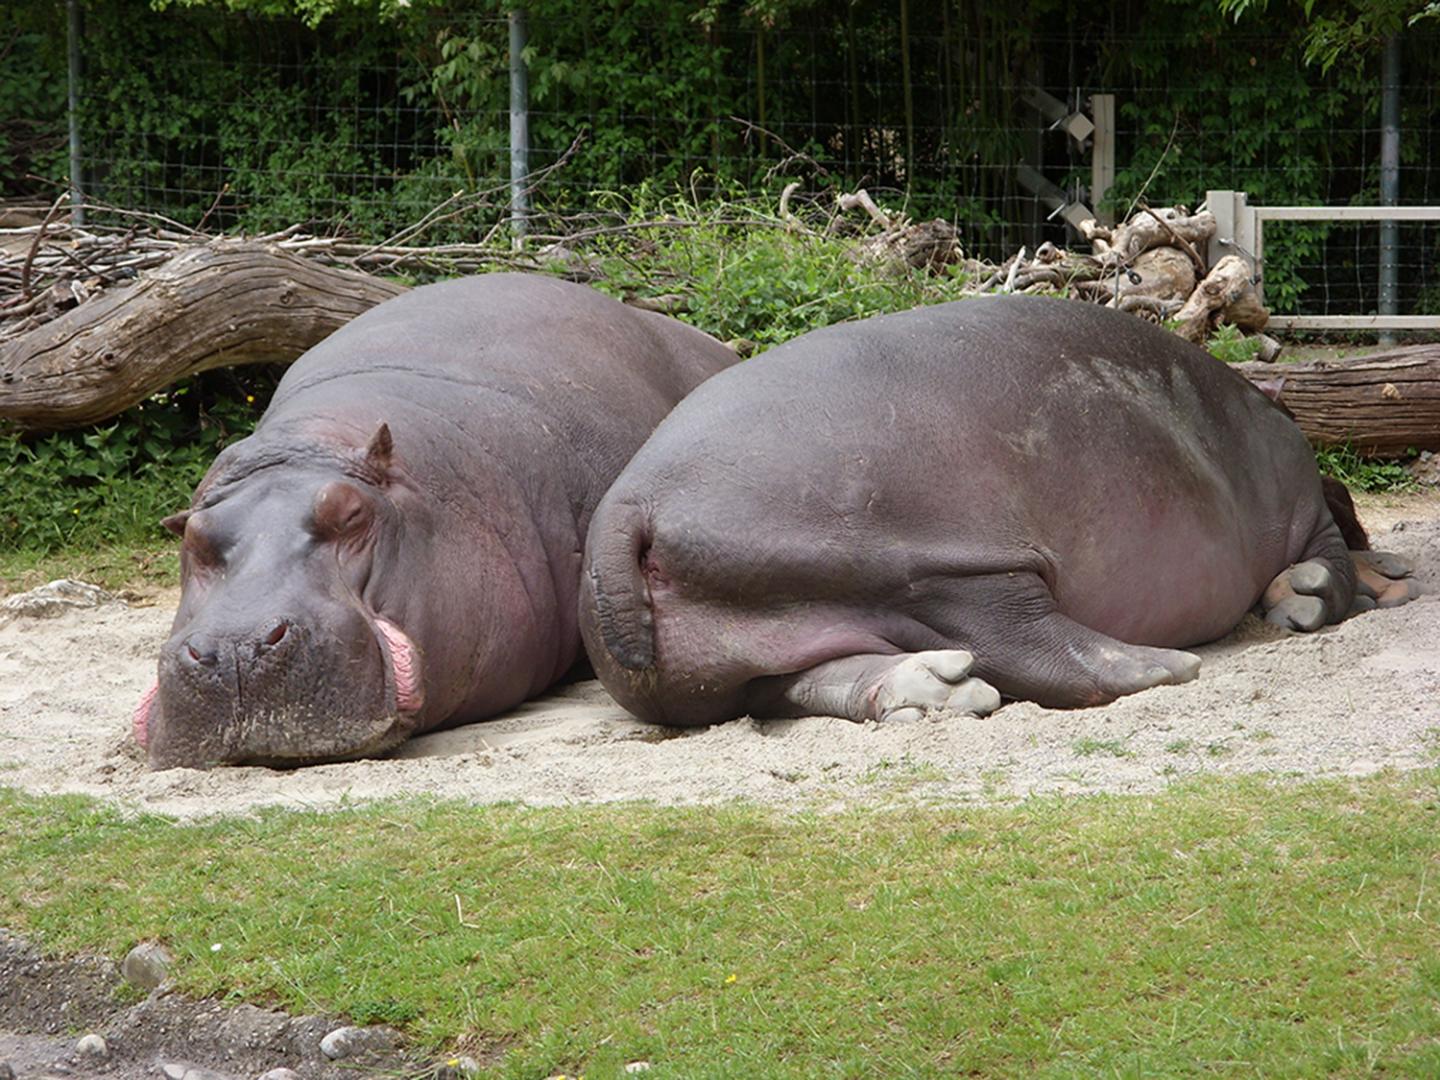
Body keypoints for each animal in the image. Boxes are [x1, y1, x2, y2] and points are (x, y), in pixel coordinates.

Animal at [579, 295, 1418, 726]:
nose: (1407, 572)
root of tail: (629, 504)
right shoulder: (1306, 500)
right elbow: (1333, 563)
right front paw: (1308, 599)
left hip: (740, 650)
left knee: (800, 682)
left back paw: (941, 692)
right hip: (928, 563)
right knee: (1028, 643)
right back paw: (1164, 667)